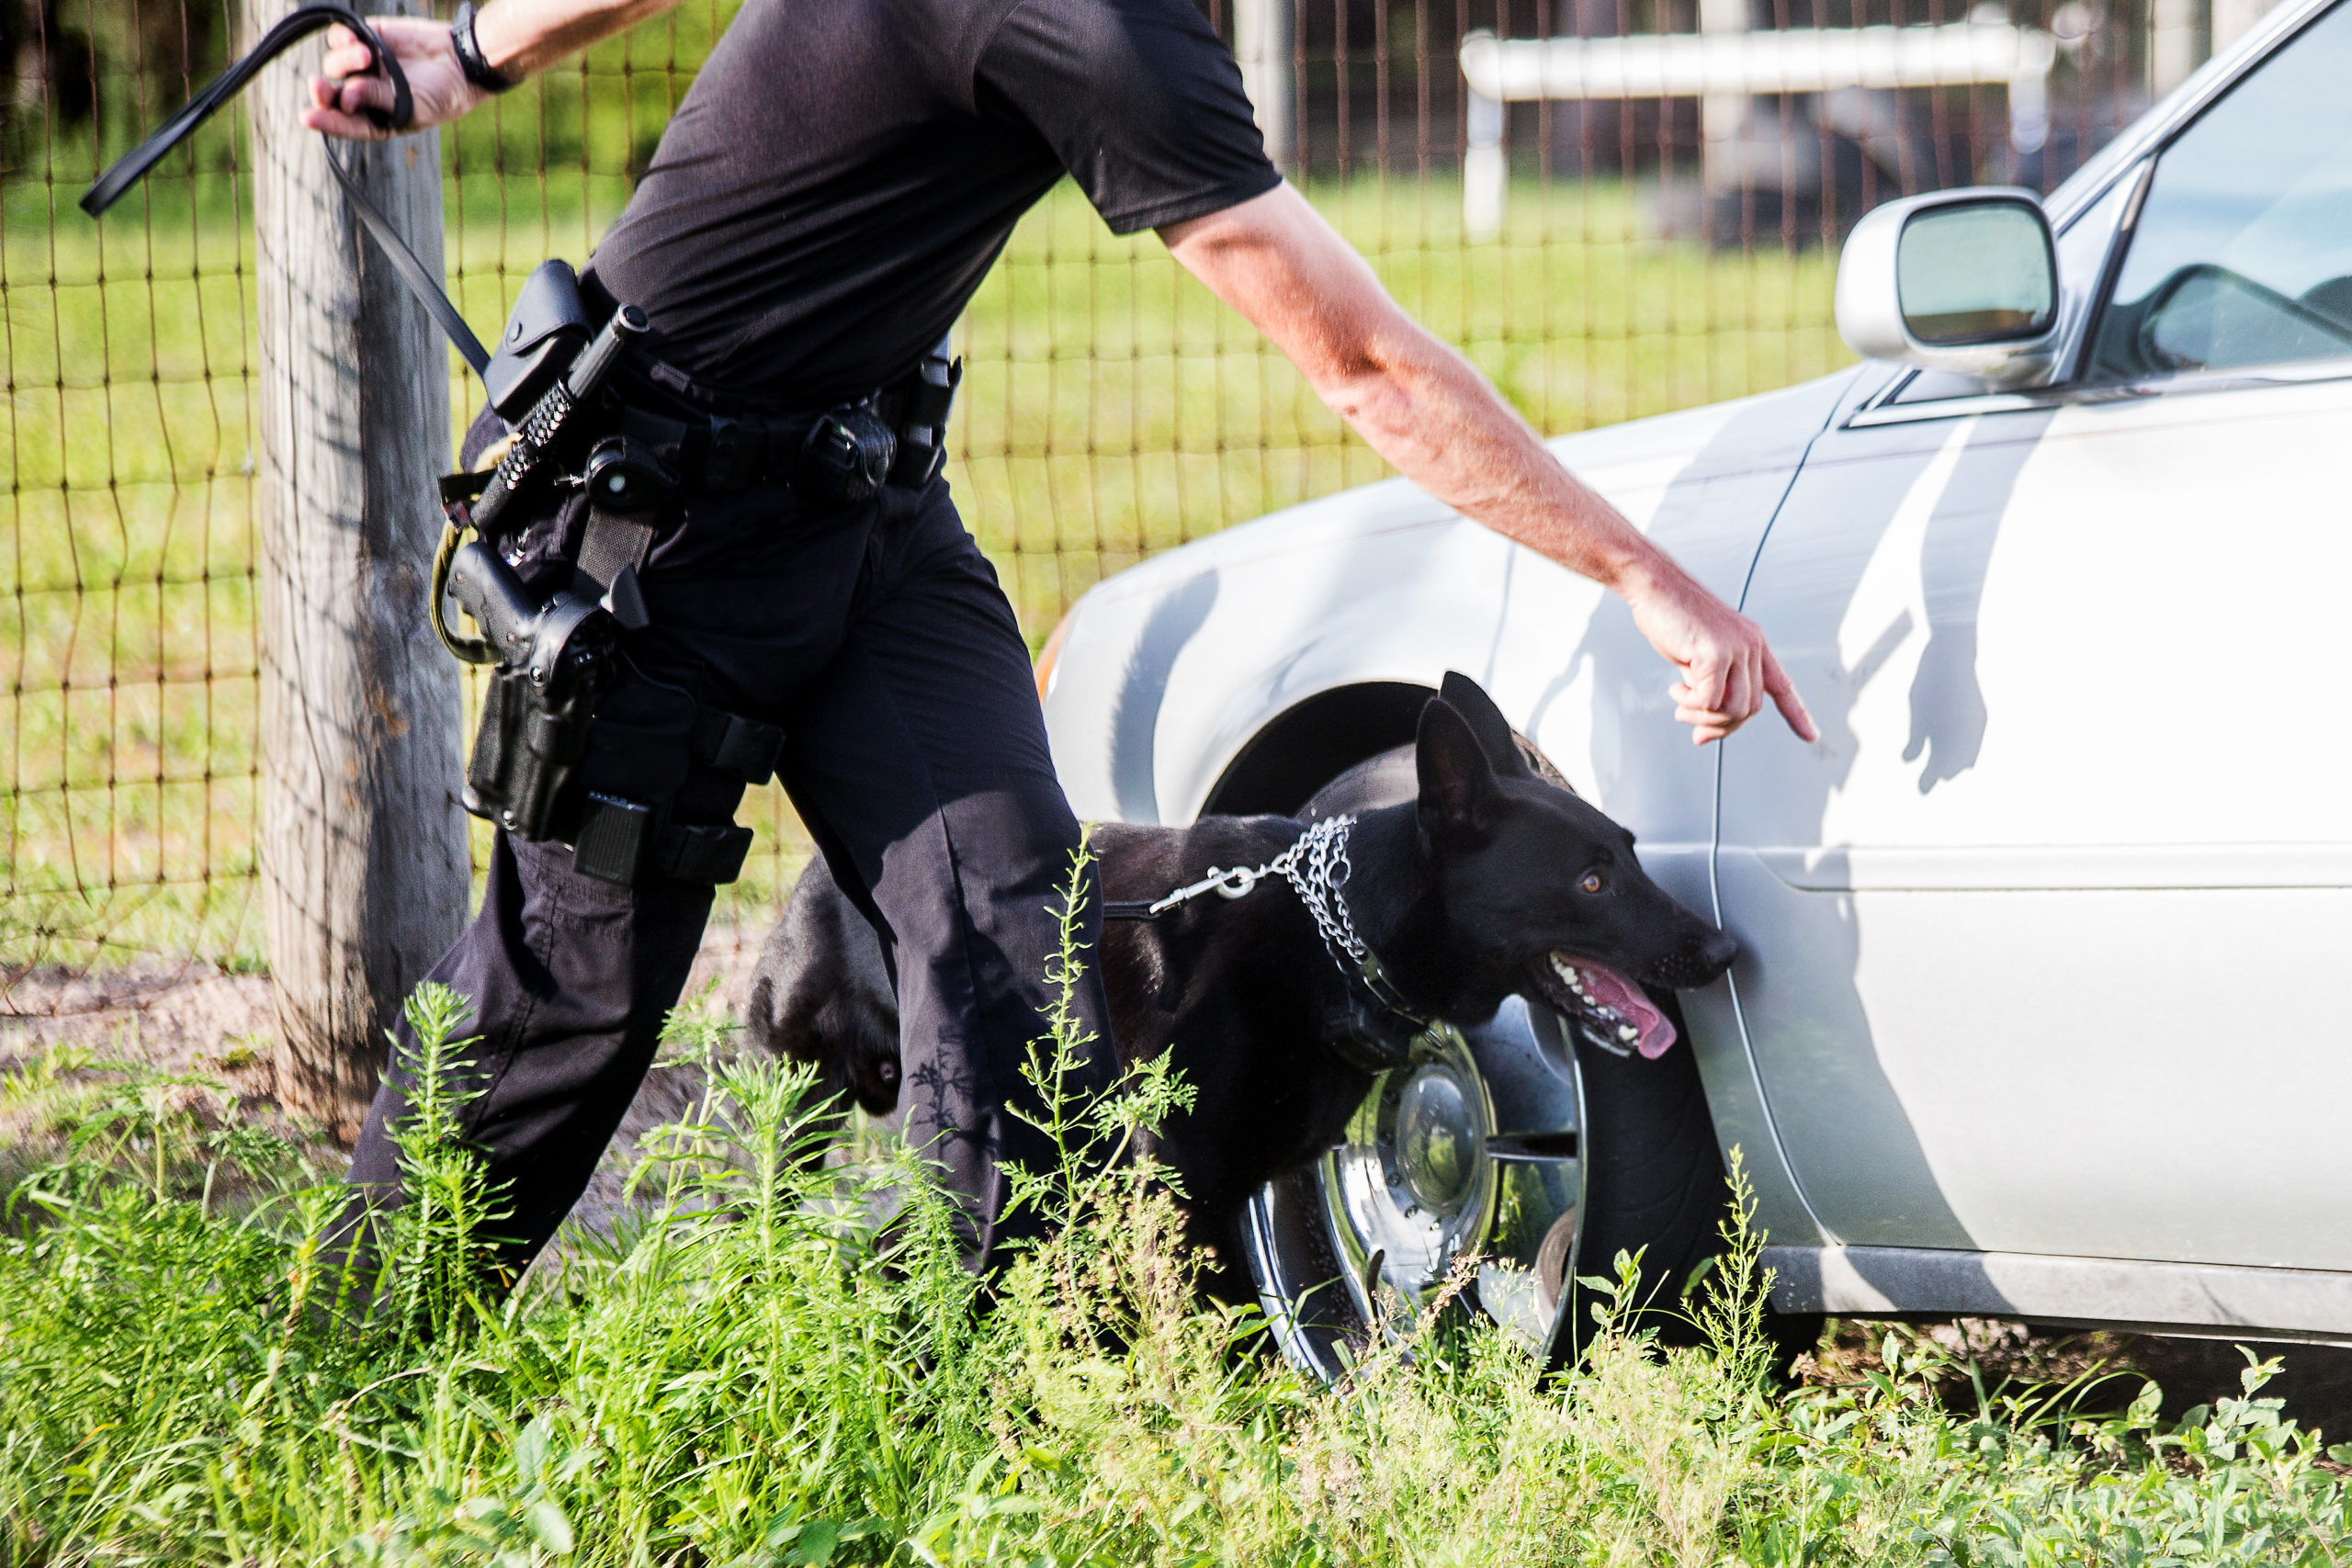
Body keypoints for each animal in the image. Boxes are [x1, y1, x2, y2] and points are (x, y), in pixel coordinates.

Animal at [742, 677, 1740, 1279]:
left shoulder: (1236, 1193)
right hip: (798, 1104)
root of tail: (825, 870)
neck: (1333, 941)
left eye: (1630, 853)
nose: (1723, 951)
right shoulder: (1171, 1191)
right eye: (1591, 881)